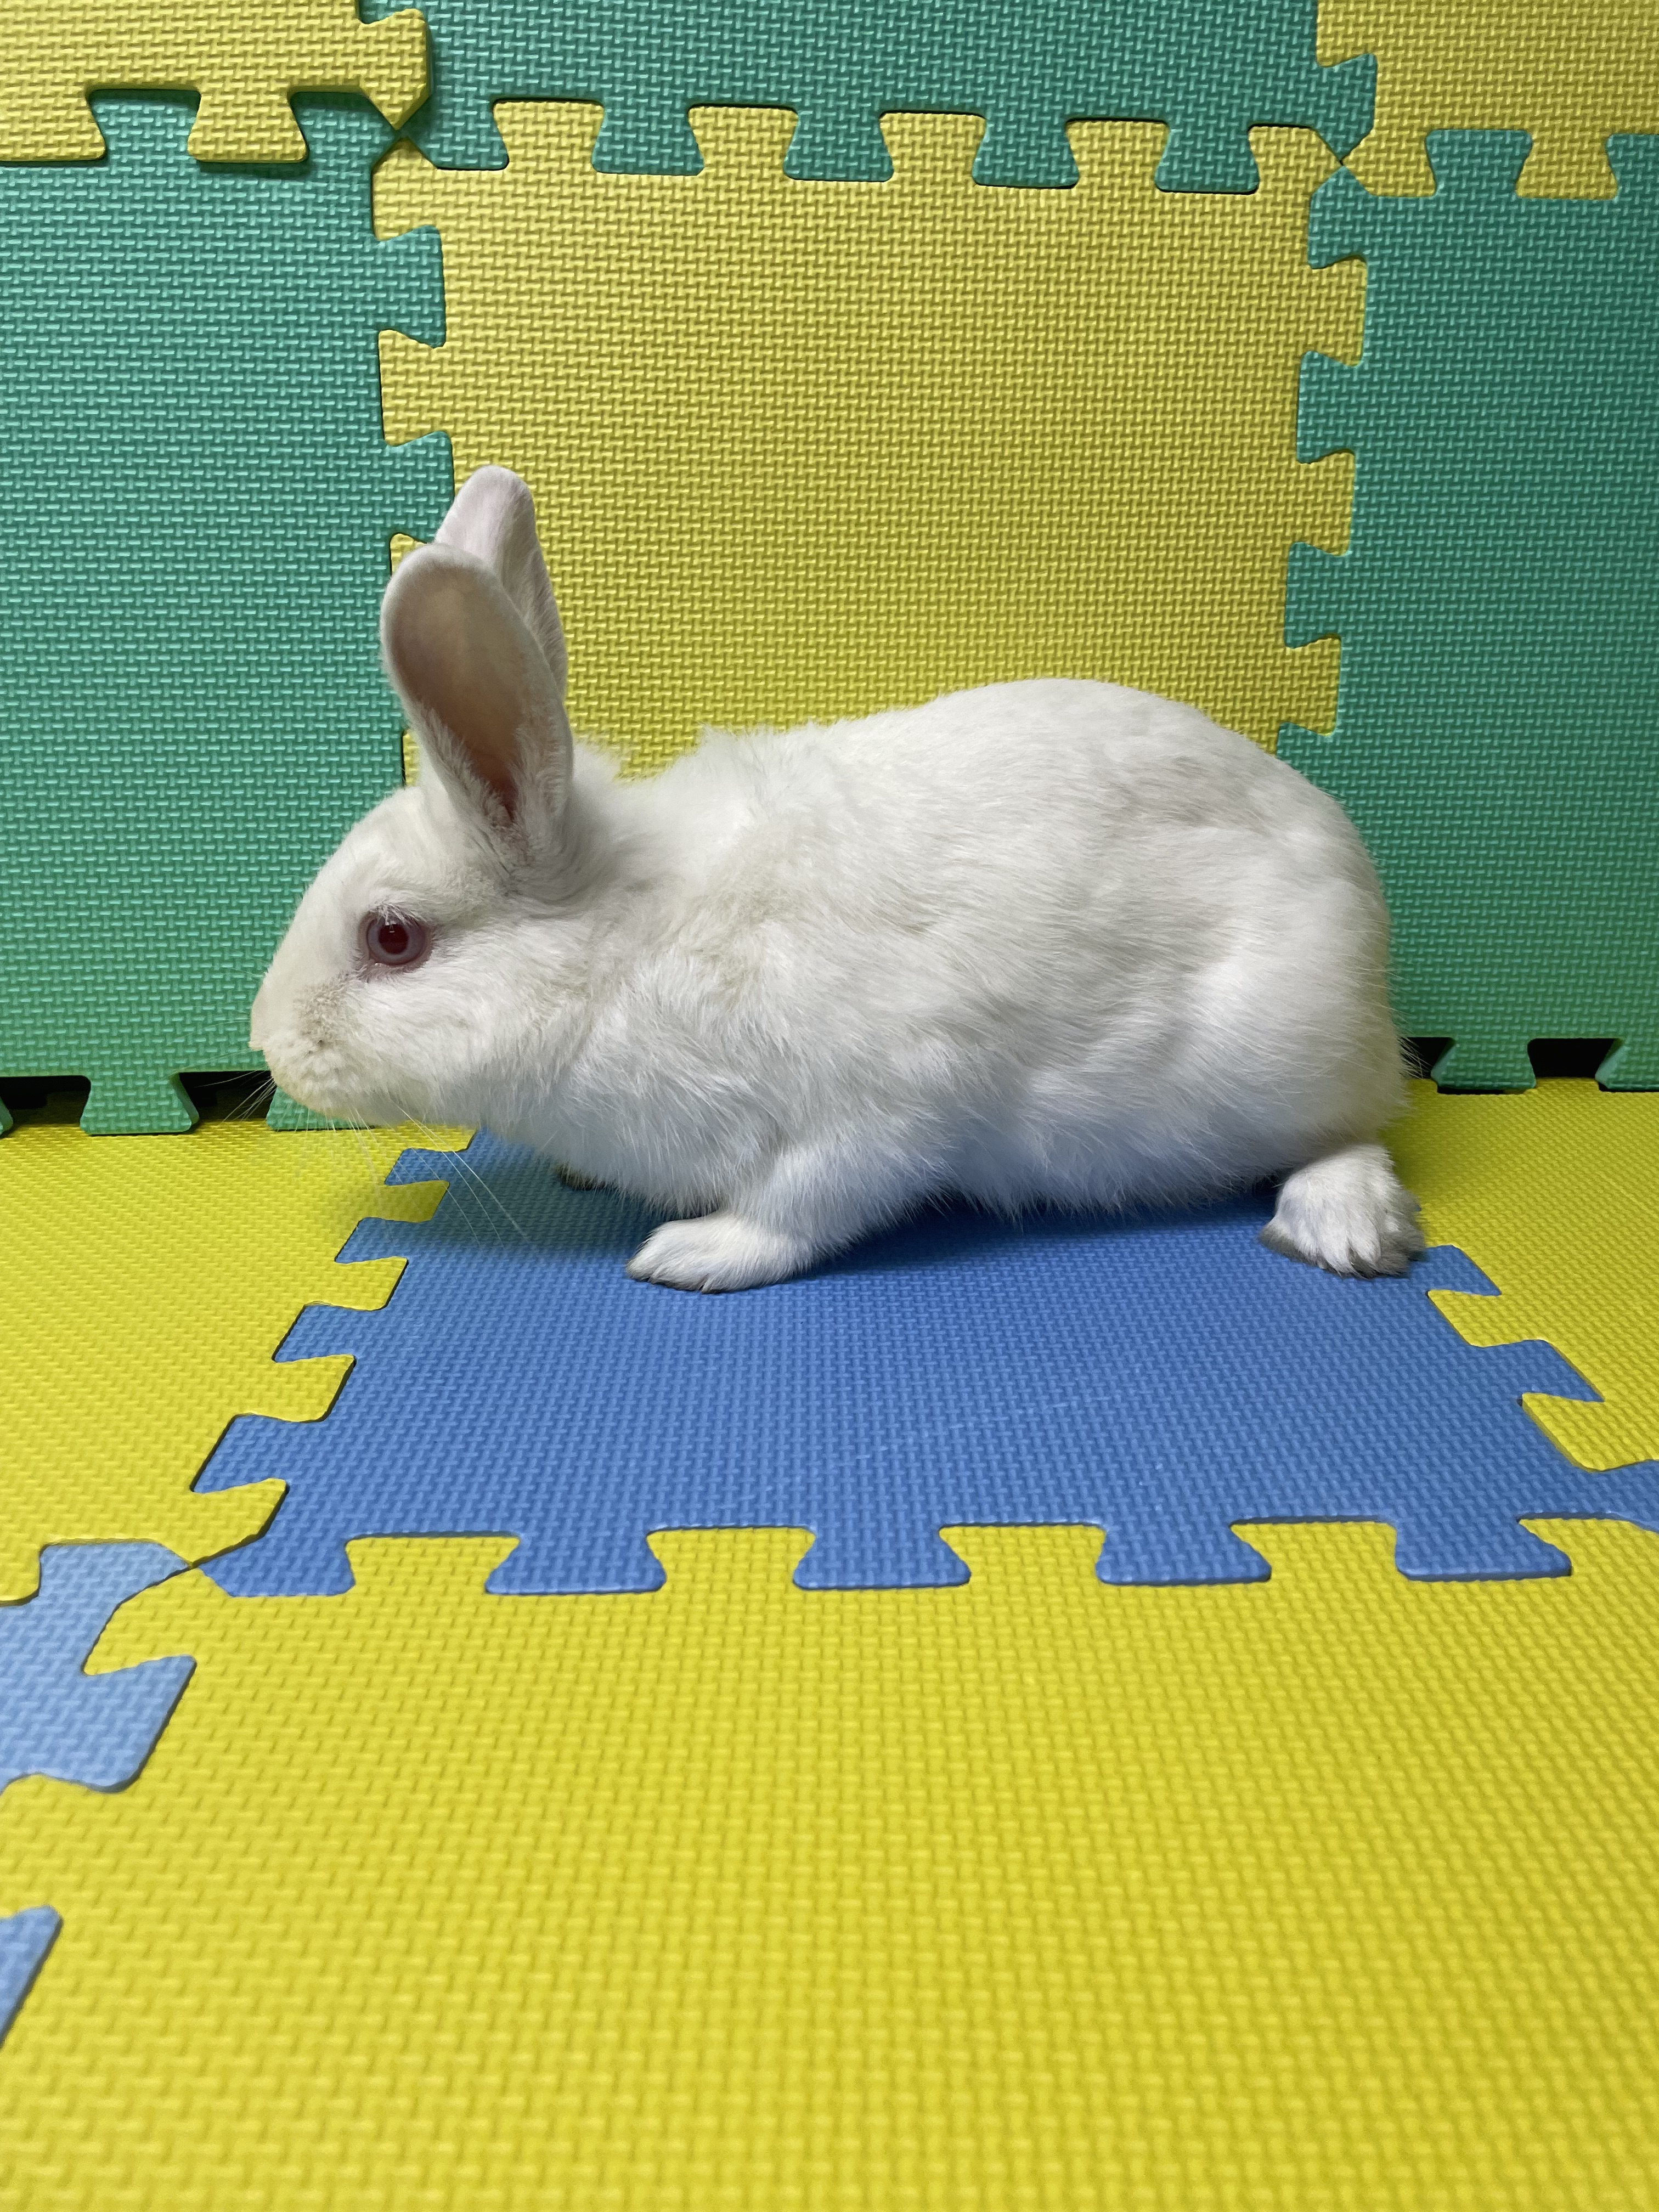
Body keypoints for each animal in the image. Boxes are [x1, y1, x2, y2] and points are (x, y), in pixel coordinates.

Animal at [252, 465, 1423, 1293]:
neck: (618, 948)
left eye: (392, 938)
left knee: (1355, 1128)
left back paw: (1342, 1226)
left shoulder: (879, 1106)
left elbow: (801, 1206)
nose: (267, 1045)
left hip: (1282, 1056)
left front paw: (691, 1252)